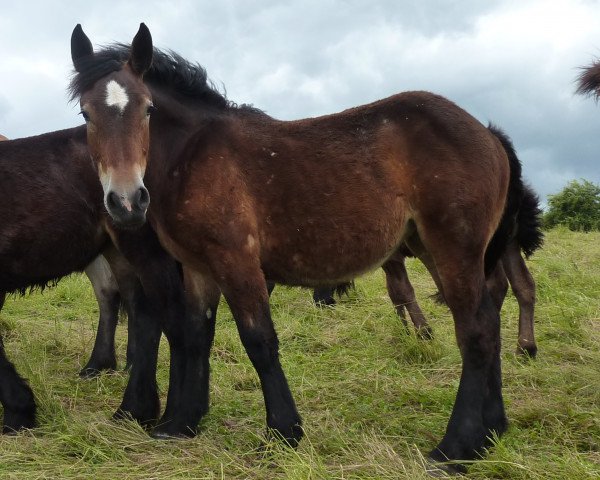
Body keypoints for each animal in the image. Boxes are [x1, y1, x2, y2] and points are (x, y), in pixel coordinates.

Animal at [70, 24, 528, 470]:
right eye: (86, 113)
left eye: (147, 109)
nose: (127, 202)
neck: (193, 155)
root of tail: (488, 133)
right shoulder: (199, 267)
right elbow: (197, 335)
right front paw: (180, 424)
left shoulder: (236, 260)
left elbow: (259, 341)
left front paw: (282, 433)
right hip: (435, 249)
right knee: (489, 320)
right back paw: (492, 430)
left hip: (454, 247)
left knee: (476, 332)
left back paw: (455, 448)